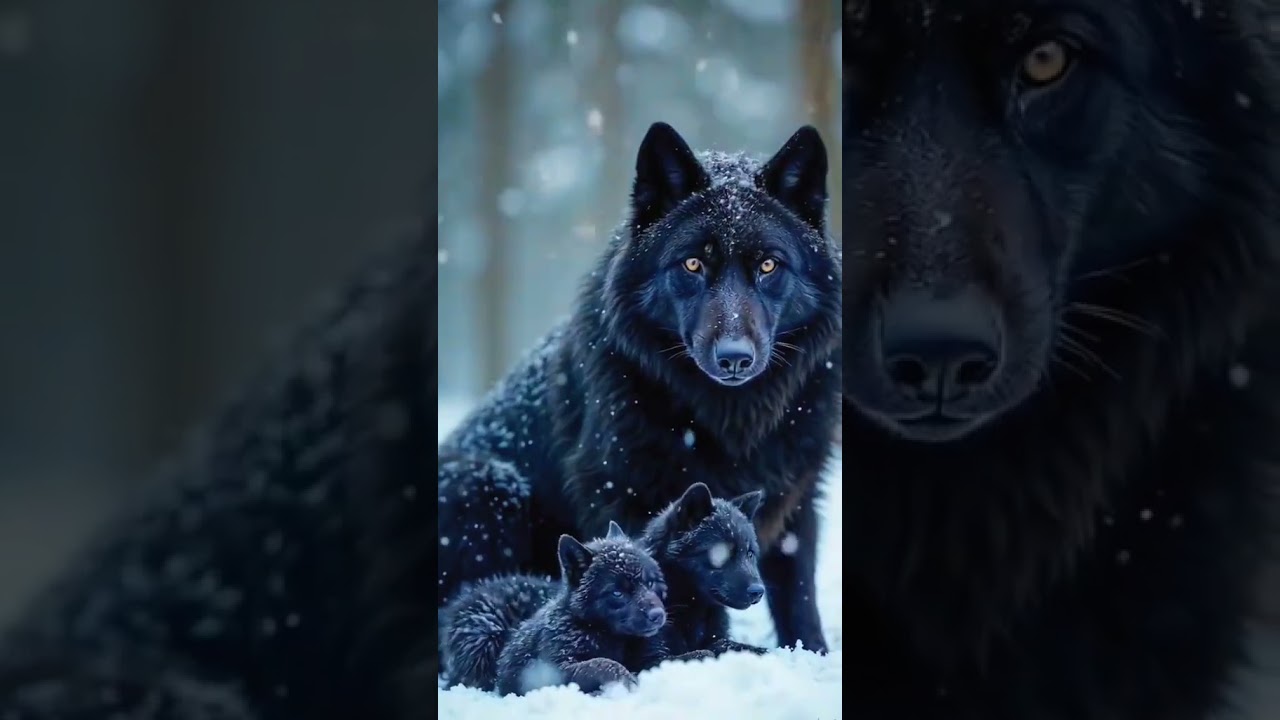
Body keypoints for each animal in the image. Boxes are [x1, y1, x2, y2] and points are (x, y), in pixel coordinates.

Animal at [437, 122, 843, 662]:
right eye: (692, 265)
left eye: (768, 266)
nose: (734, 357)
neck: (727, 418)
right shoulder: (620, 491)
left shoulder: (798, 495)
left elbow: (798, 595)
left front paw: (812, 656)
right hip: (483, 486)